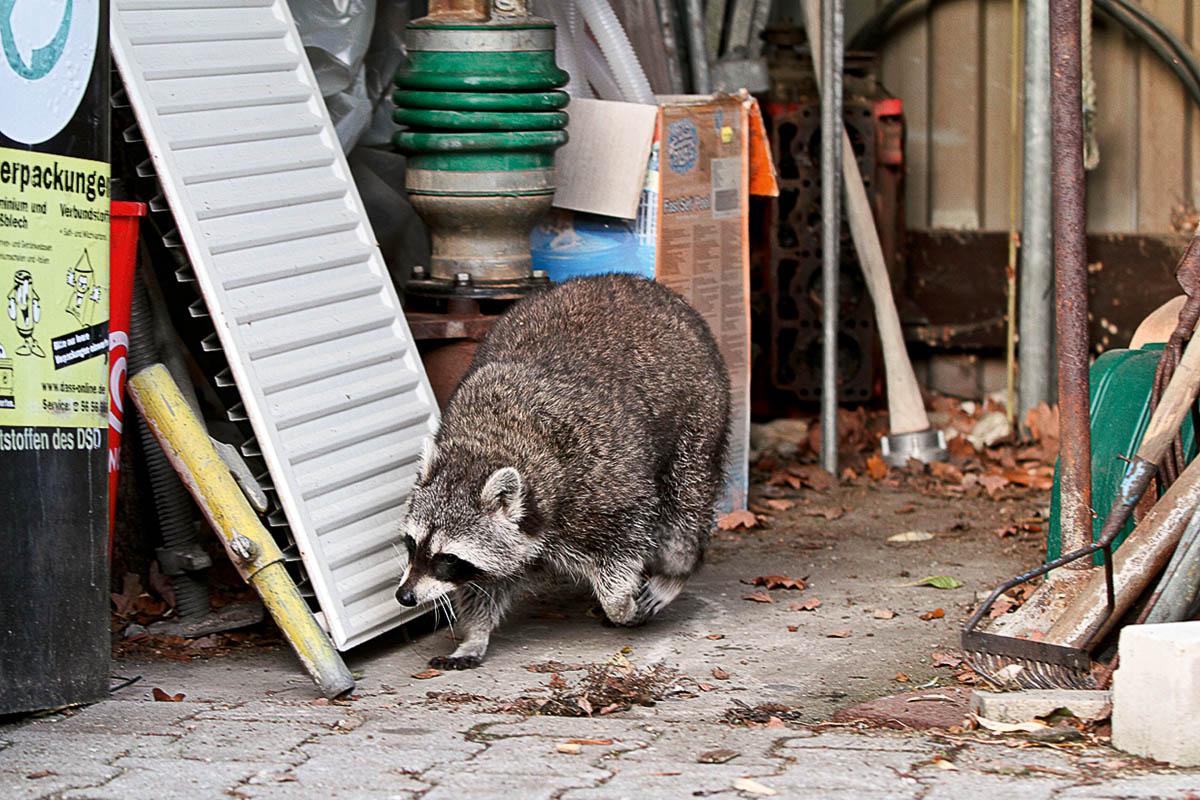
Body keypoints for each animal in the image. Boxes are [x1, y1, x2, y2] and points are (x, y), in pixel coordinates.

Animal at [398, 275, 724, 671]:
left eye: (447, 559)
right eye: (412, 544)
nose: (405, 596)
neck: (494, 439)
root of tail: (635, 281)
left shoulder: (607, 486)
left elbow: (624, 548)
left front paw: (620, 602)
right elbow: (486, 583)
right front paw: (474, 634)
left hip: (700, 418)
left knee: (683, 517)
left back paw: (673, 574)